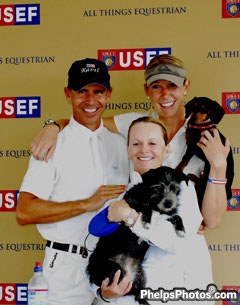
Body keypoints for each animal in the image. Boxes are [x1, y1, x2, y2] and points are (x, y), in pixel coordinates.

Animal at [86, 166, 188, 304]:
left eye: (174, 187)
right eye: (157, 187)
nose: (169, 203)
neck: (153, 202)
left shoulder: (165, 216)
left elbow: (177, 216)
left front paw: (181, 230)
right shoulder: (131, 202)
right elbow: (145, 208)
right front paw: (146, 220)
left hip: (139, 275)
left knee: (137, 293)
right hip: (114, 271)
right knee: (130, 291)